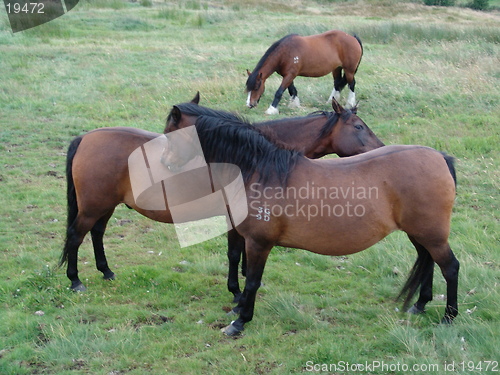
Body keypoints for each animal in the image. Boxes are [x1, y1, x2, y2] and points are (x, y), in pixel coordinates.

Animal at [58, 94, 382, 294]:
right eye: (358, 126)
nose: (382, 148)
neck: (254, 158)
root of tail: (85, 138)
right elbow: (234, 253)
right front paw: (236, 290)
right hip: (92, 207)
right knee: (76, 236)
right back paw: (75, 280)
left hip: (105, 206)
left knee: (96, 233)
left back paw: (106, 271)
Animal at [162, 116, 458, 336]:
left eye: (170, 131)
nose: (165, 163)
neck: (260, 171)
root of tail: (439, 157)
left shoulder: (259, 243)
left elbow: (253, 281)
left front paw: (240, 321)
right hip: (420, 234)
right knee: (428, 261)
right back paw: (420, 305)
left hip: (432, 235)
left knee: (450, 267)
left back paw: (449, 317)